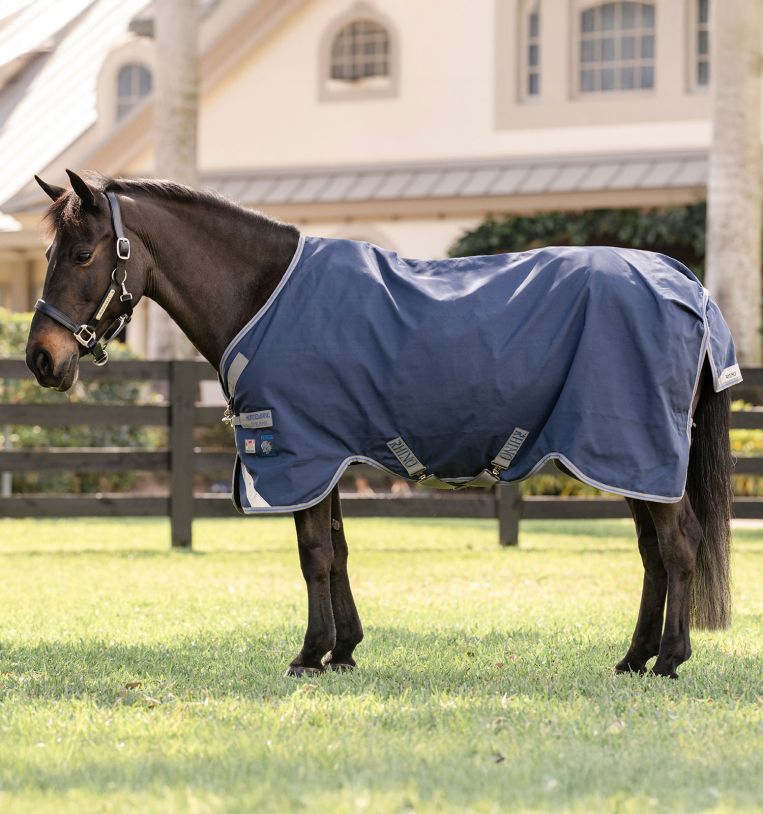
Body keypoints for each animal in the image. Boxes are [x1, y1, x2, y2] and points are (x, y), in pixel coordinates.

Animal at [26, 170, 736, 679]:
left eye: (83, 254)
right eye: (49, 252)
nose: (40, 359)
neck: (261, 293)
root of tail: (686, 283)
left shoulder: (300, 453)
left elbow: (313, 554)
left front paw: (309, 655)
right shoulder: (328, 458)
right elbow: (337, 550)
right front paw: (344, 650)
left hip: (635, 449)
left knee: (679, 545)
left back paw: (669, 660)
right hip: (628, 460)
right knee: (653, 552)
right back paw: (634, 658)